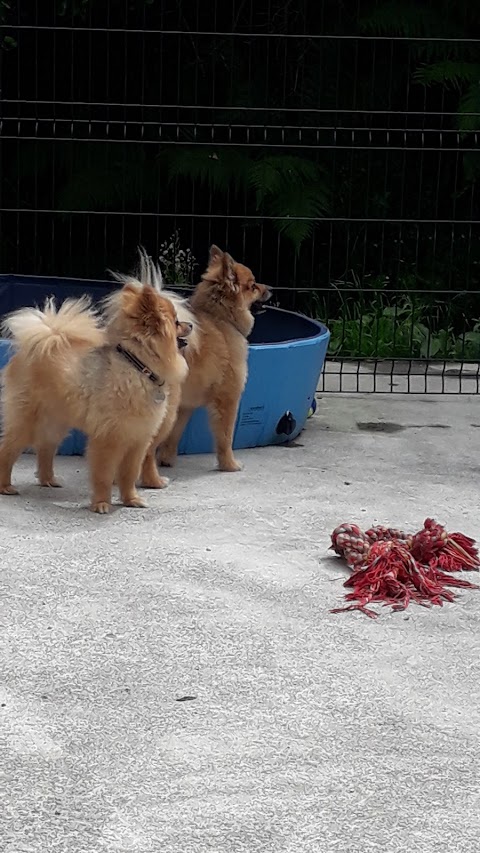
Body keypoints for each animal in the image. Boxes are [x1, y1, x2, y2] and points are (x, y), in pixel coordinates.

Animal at [0, 280, 191, 510]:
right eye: (176, 321)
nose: (191, 325)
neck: (138, 367)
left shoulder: (138, 440)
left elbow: (129, 474)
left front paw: (131, 500)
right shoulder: (108, 438)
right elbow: (104, 474)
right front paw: (101, 504)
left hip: (54, 423)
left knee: (45, 448)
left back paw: (48, 480)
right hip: (26, 421)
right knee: (7, 450)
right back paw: (5, 486)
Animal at [141, 246, 272, 486]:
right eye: (253, 285)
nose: (271, 289)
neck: (223, 320)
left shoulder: (185, 406)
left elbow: (175, 435)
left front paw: (167, 459)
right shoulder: (228, 399)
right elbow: (225, 438)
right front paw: (229, 465)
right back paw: (153, 481)